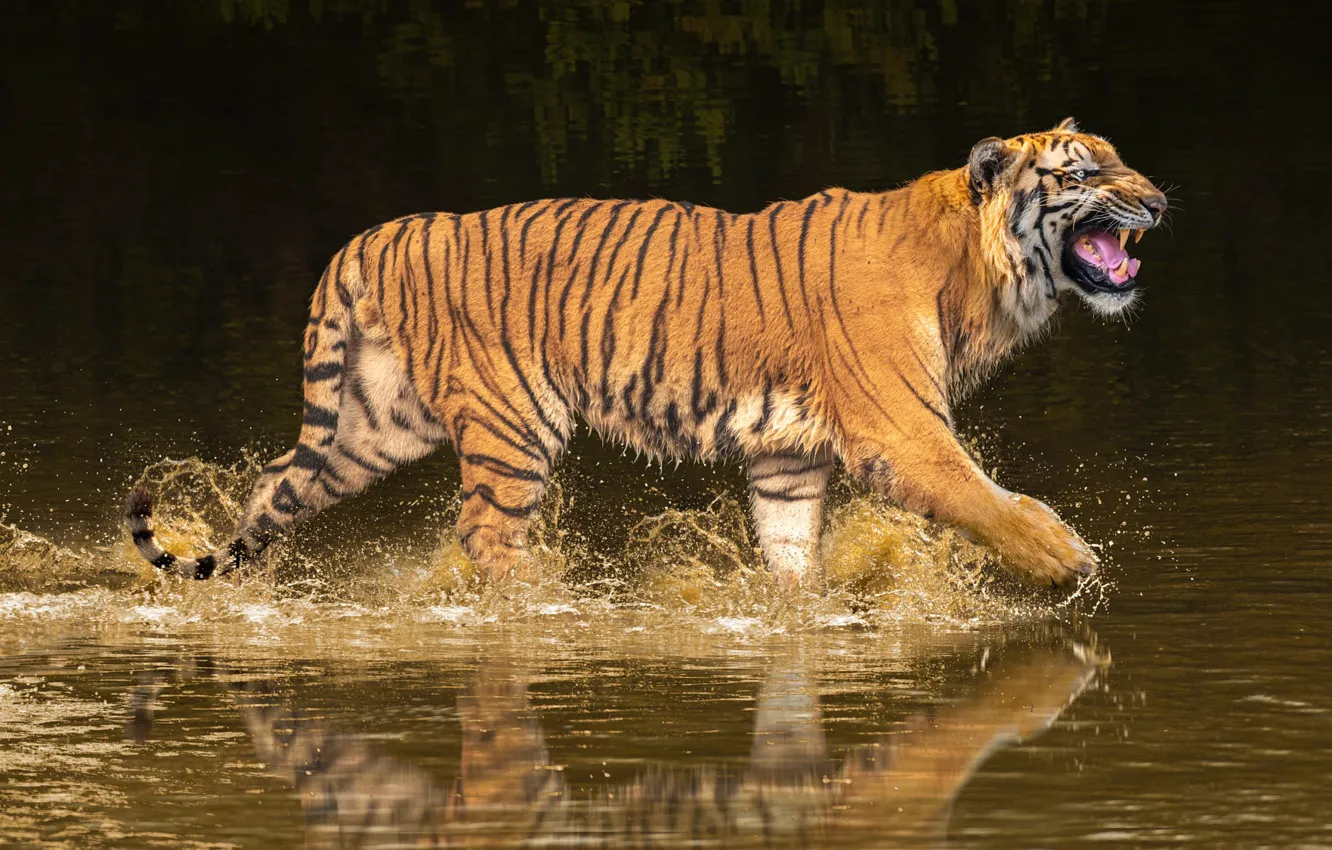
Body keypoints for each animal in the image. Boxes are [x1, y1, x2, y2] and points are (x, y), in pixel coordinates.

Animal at [125, 117, 1167, 588]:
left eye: (1123, 160)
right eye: (1086, 173)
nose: (1158, 201)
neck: (977, 276)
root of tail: (381, 233)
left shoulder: (789, 460)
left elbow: (791, 555)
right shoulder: (902, 435)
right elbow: (989, 499)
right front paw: (1070, 560)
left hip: (377, 423)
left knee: (274, 485)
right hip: (510, 430)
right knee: (486, 540)